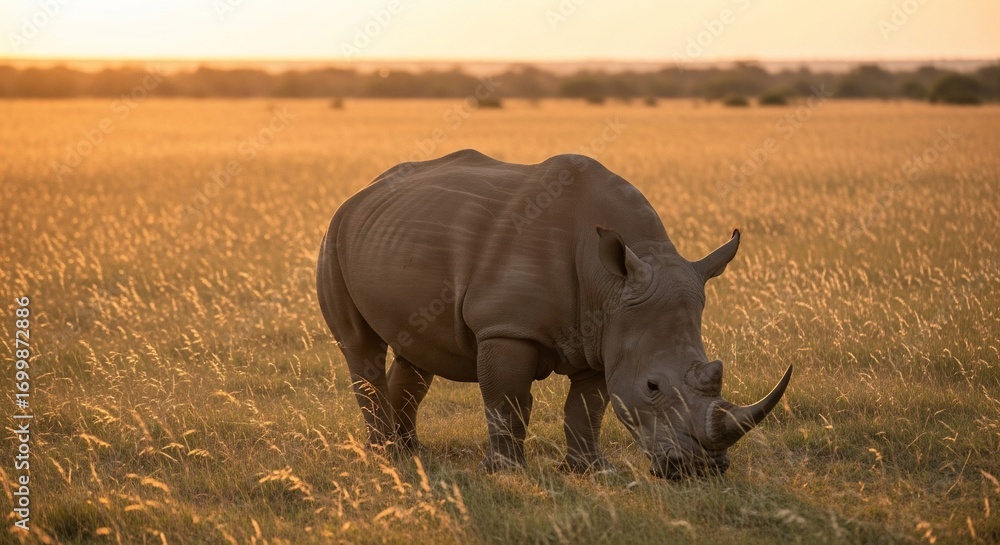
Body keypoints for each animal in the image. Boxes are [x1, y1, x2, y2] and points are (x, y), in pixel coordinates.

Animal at [316, 149, 792, 479]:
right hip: (334, 235)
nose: (700, 470)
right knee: (361, 347)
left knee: (415, 352)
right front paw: (505, 473)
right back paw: (384, 455)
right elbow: (506, 400)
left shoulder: (605, 336)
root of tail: (363, 191)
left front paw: (591, 472)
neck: (610, 283)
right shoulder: (506, 328)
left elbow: (587, 408)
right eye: (652, 386)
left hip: (390, 235)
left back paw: (409, 452)